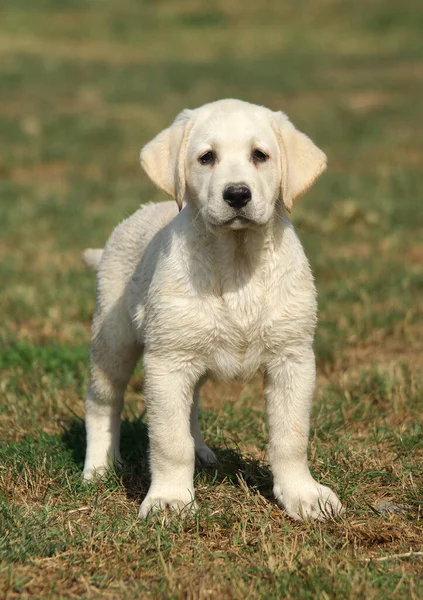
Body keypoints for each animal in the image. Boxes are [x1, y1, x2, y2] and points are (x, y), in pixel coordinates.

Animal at [83, 98, 344, 520]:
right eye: (206, 157)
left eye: (260, 155)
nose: (236, 194)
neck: (236, 261)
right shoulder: (167, 362)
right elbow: (169, 442)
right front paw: (170, 499)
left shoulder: (293, 358)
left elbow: (291, 437)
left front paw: (303, 494)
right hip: (113, 339)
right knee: (103, 400)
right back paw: (99, 467)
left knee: (190, 405)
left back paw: (202, 452)